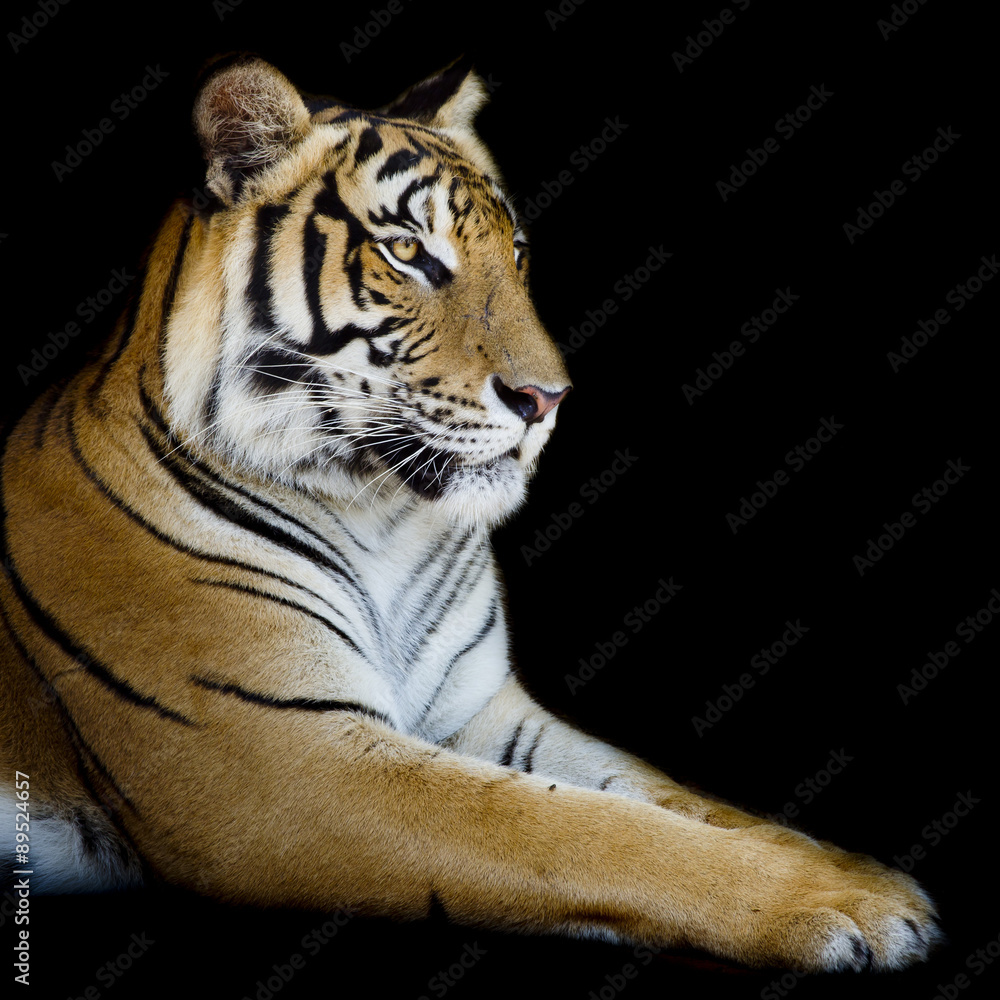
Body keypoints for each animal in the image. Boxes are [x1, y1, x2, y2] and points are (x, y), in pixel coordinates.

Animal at [0, 54, 942, 972]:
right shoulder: (281, 757)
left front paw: (859, 872)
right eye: (408, 252)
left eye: (516, 253)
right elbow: (578, 827)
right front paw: (848, 904)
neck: (380, 516)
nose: (547, 399)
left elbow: (672, 797)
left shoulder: (478, 709)